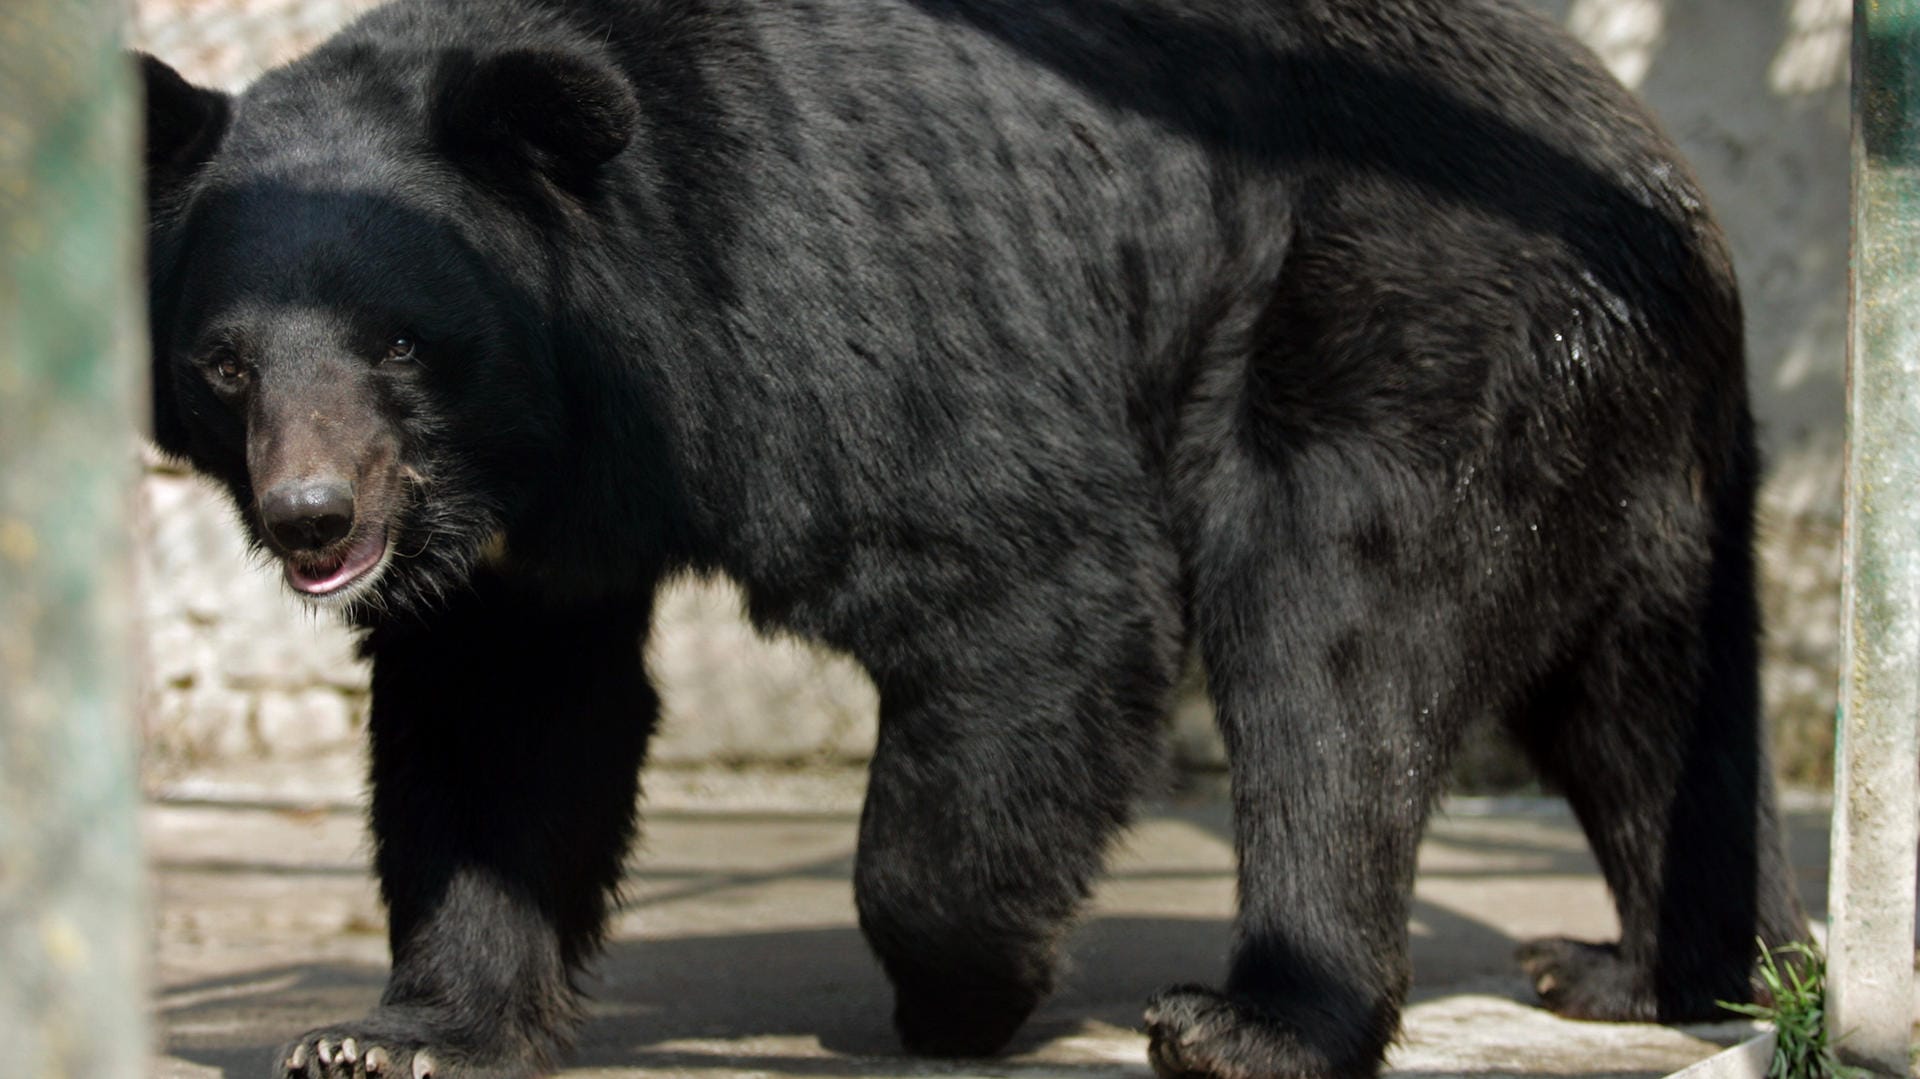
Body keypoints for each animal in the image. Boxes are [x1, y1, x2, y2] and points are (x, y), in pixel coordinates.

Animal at [142, 0, 1804, 1067]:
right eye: (225, 362)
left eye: (404, 340)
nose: (315, 520)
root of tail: (1659, 174)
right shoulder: (524, 538)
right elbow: (501, 718)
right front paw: (396, 1033)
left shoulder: (814, 289)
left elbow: (1020, 577)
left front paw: (963, 991)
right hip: (1633, 443)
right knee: (1649, 702)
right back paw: (1655, 968)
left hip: (1410, 314)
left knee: (1335, 639)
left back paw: (1254, 1021)